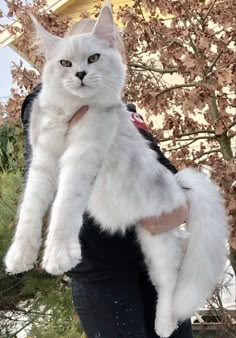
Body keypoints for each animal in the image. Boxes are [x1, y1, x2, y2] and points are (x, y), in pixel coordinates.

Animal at [4, 3, 229, 338]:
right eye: (65, 63)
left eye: (94, 58)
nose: (80, 74)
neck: (71, 112)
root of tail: (181, 187)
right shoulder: (42, 161)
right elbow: (30, 212)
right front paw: (20, 256)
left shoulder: (81, 157)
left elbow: (64, 207)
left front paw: (59, 255)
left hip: (158, 246)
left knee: (169, 286)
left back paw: (164, 325)